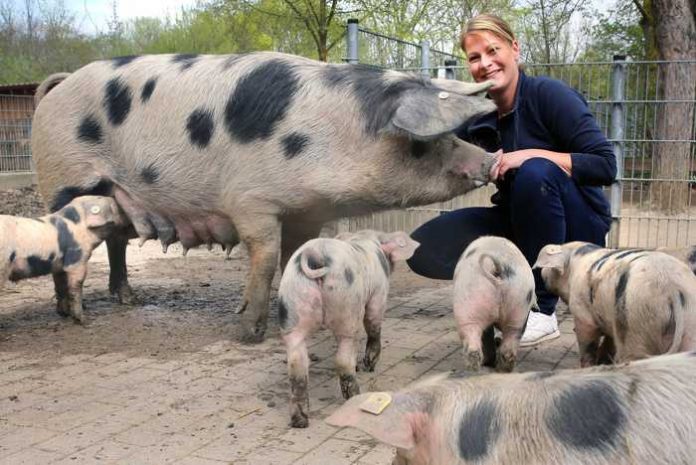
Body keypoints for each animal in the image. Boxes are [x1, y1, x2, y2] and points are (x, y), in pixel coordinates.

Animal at [32, 51, 498, 340]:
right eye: (426, 143)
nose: (490, 159)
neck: (327, 138)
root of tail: (59, 84)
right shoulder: (249, 199)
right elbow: (266, 256)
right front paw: (247, 331)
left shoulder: (308, 211)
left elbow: (298, 253)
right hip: (63, 182)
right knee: (64, 240)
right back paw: (69, 315)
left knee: (114, 240)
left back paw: (127, 299)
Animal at [278, 230, 418, 426]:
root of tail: (316, 254)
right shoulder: (379, 293)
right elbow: (373, 324)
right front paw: (369, 366)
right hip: (347, 306)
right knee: (344, 358)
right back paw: (355, 396)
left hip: (292, 307)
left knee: (297, 363)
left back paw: (300, 421)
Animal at [454, 237, 536, 372]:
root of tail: (499, 268)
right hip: (518, 306)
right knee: (509, 343)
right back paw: (503, 369)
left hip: (468, 306)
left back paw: (473, 369)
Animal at [532, 243, 696, 366]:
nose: (542, 273)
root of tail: (671, 288)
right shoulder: (610, 319)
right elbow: (609, 342)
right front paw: (603, 361)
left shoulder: (583, 315)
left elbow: (588, 345)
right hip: (689, 326)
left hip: (636, 321)